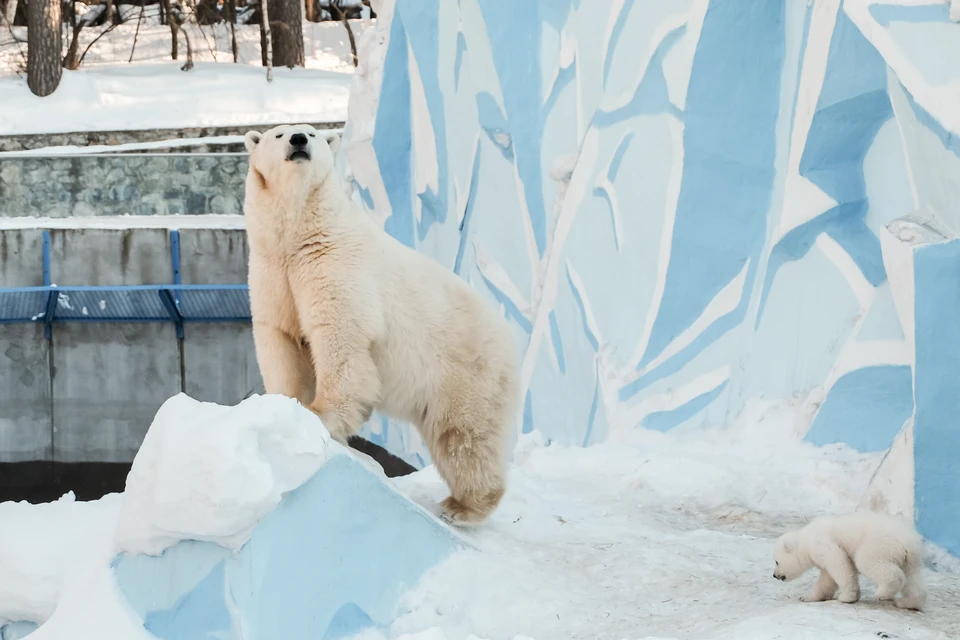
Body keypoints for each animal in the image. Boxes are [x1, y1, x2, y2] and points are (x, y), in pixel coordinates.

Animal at [244, 124, 520, 524]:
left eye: (313, 132)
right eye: (279, 134)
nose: (299, 140)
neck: (299, 235)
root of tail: (510, 338)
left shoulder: (335, 266)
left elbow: (339, 335)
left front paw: (319, 414)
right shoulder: (273, 270)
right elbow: (280, 337)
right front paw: (286, 408)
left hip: (468, 371)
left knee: (464, 435)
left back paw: (463, 507)